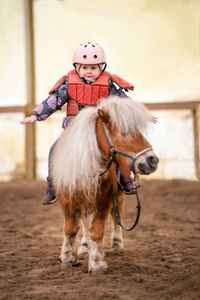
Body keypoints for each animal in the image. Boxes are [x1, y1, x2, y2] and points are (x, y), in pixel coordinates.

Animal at [50, 96, 159, 274]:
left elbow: (98, 231)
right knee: (84, 223)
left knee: (116, 215)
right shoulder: (68, 201)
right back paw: (84, 247)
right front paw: (67, 257)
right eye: (124, 132)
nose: (152, 161)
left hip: (117, 195)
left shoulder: (103, 201)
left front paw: (96, 263)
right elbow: (70, 230)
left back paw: (116, 244)